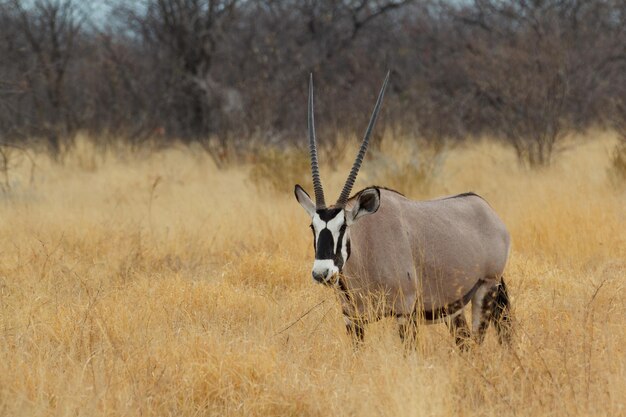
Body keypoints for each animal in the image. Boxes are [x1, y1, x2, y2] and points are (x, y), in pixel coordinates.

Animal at [294, 73, 510, 346]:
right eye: (313, 226)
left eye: (343, 226)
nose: (322, 273)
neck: (366, 247)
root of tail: (488, 211)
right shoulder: (353, 320)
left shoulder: (404, 313)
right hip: (454, 307)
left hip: (485, 290)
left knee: (477, 343)